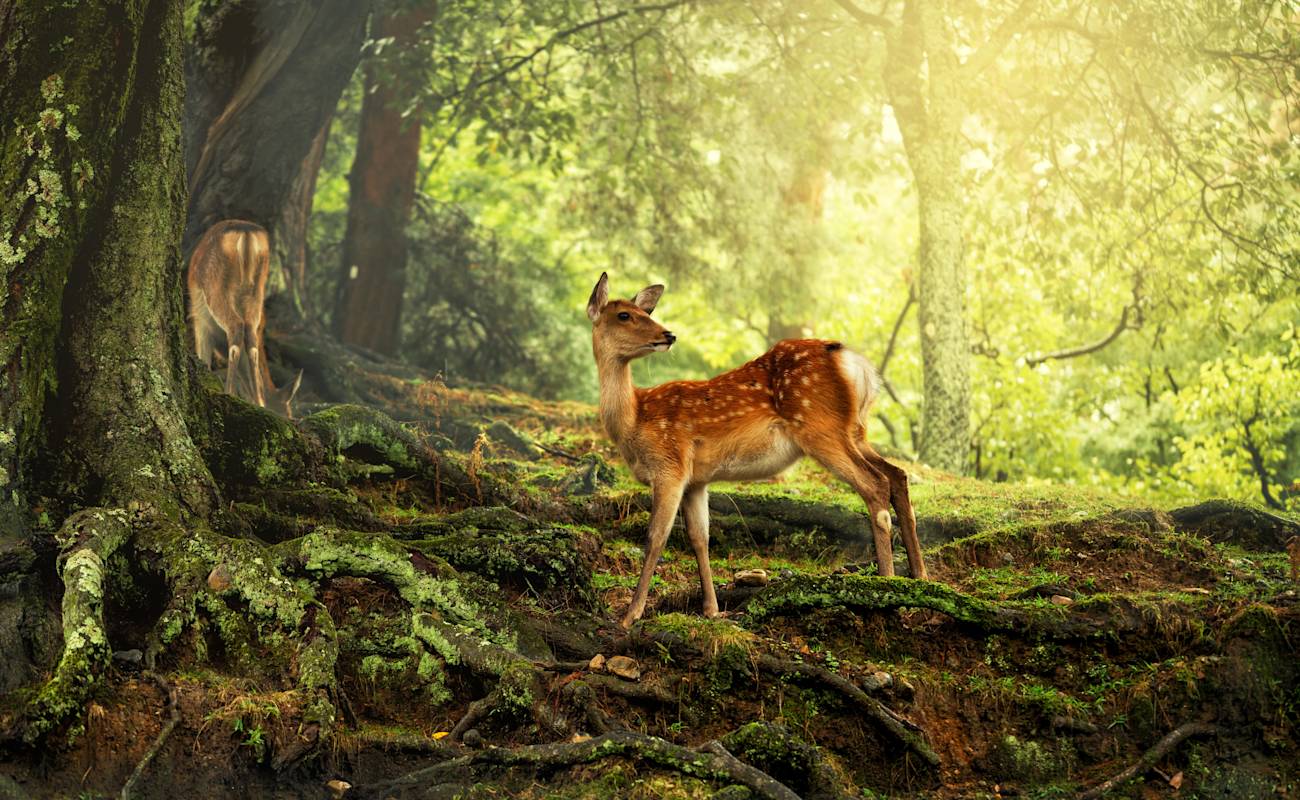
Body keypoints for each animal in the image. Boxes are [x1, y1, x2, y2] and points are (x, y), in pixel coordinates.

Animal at [188, 218, 301, 418]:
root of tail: (246, 233)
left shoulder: (200, 323)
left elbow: (204, 359)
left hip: (215, 287)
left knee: (236, 328)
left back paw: (229, 393)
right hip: (256, 293)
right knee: (251, 341)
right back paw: (258, 402)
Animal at [590, 271, 925, 629]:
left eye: (645, 313)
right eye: (624, 315)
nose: (669, 334)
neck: (634, 420)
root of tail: (854, 363)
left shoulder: (670, 465)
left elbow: (656, 536)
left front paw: (630, 615)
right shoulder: (696, 480)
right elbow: (699, 537)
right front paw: (711, 609)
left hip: (820, 428)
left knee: (875, 483)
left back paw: (887, 588)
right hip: (856, 430)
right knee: (898, 474)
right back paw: (919, 579)